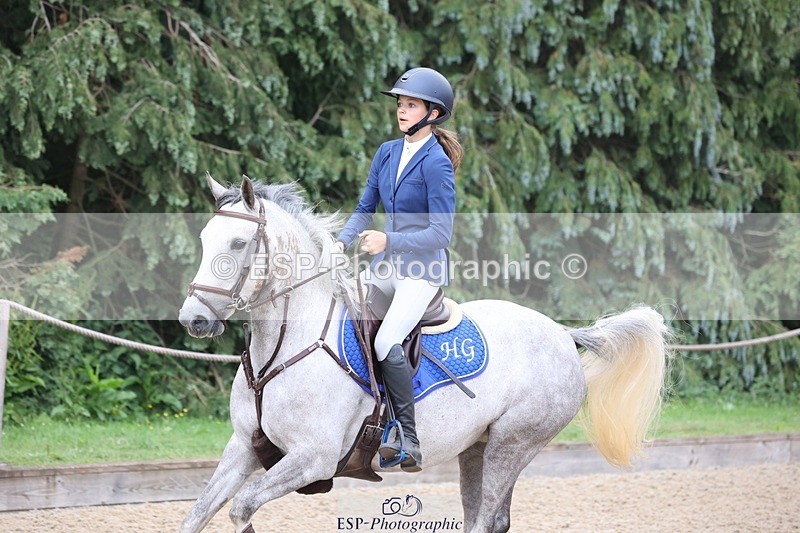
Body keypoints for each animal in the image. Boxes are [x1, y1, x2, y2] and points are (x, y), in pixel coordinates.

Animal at [177, 175, 672, 533]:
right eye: (204, 239)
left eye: (238, 243)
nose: (193, 318)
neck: (282, 349)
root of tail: (563, 334)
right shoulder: (243, 446)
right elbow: (198, 513)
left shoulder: (313, 458)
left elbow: (241, 508)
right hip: (479, 446)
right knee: (486, 518)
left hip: (514, 443)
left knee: (486, 518)